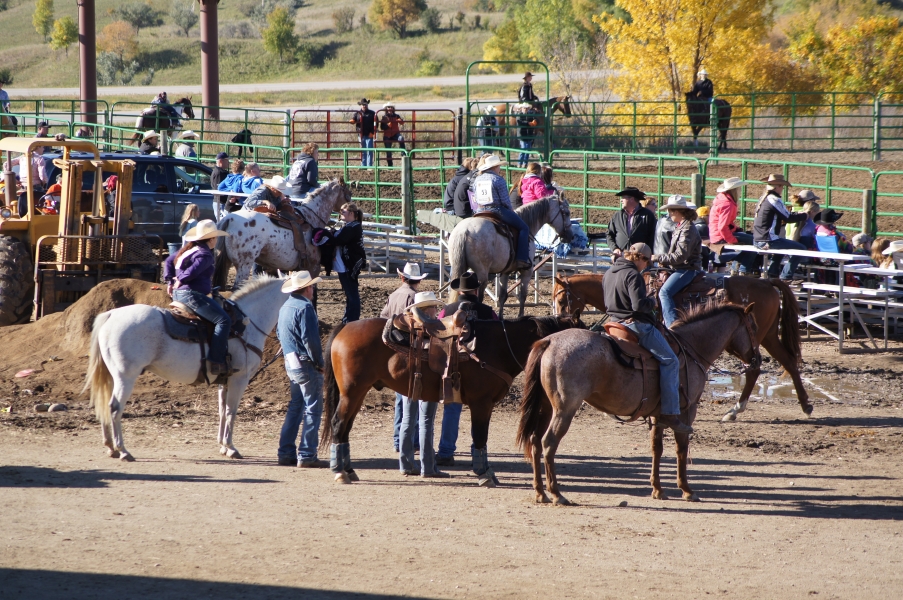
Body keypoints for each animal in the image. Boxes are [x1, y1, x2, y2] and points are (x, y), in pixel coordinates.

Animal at [84, 274, 288, 462]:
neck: (245, 325)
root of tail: (110, 315)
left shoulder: (224, 381)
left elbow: (222, 411)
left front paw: (223, 446)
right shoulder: (239, 379)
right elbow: (231, 411)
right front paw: (231, 448)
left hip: (112, 376)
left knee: (105, 404)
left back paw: (110, 447)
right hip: (125, 377)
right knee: (115, 408)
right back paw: (123, 451)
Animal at [214, 178, 352, 290]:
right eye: (349, 194)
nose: (352, 206)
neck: (311, 217)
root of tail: (229, 219)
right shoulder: (313, 268)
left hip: (227, 263)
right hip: (243, 265)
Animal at [324, 316, 580, 486]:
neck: (495, 347)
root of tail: (345, 327)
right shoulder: (481, 404)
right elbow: (480, 437)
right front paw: (484, 474)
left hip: (358, 393)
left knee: (345, 428)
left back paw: (349, 469)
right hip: (351, 393)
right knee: (338, 424)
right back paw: (340, 472)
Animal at [516, 302, 764, 504]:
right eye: (753, 327)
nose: (758, 359)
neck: (691, 348)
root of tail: (549, 341)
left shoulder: (659, 415)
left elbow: (657, 448)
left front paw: (658, 489)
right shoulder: (686, 411)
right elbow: (681, 448)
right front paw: (686, 489)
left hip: (546, 408)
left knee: (535, 441)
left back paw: (540, 493)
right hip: (564, 410)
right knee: (549, 443)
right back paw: (556, 494)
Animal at [556, 274, 808, 420]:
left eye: (560, 299)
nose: (559, 320)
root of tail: (766, 281)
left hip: (762, 336)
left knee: (760, 367)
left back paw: (738, 409)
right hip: (768, 336)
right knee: (786, 361)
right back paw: (803, 404)